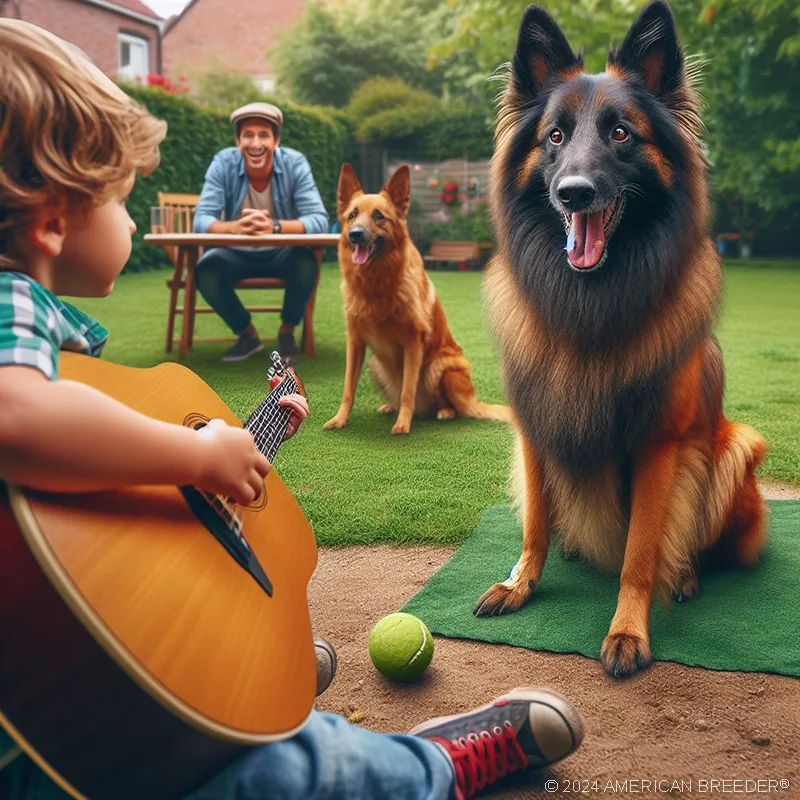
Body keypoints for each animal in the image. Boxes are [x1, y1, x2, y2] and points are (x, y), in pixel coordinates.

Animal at [322, 164, 510, 438]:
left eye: (379, 216)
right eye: (352, 216)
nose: (355, 235)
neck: (375, 286)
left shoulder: (412, 343)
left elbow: (407, 390)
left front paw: (403, 424)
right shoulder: (355, 342)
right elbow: (348, 388)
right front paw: (340, 419)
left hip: (439, 367)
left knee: (449, 405)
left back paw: (444, 412)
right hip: (375, 364)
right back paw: (390, 405)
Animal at [476, 0, 768, 680]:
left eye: (620, 134)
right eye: (554, 137)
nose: (574, 192)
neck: (590, 304)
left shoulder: (659, 445)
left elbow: (640, 552)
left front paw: (629, 629)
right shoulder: (535, 426)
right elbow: (535, 524)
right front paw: (521, 583)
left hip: (737, 446)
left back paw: (684, 574)